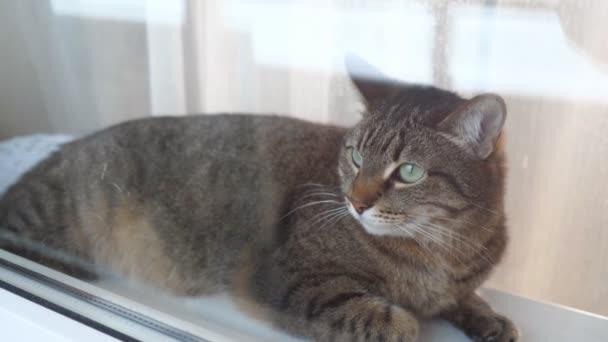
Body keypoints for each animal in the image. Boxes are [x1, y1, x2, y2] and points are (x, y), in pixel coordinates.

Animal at [2, 62, 520, 342]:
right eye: (355, 156)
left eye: (408, 172)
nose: (355, 202)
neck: (441, 250)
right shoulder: (288, 280)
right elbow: (394, 322)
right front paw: (406, 318)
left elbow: (465, 298)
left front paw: (487, 316)